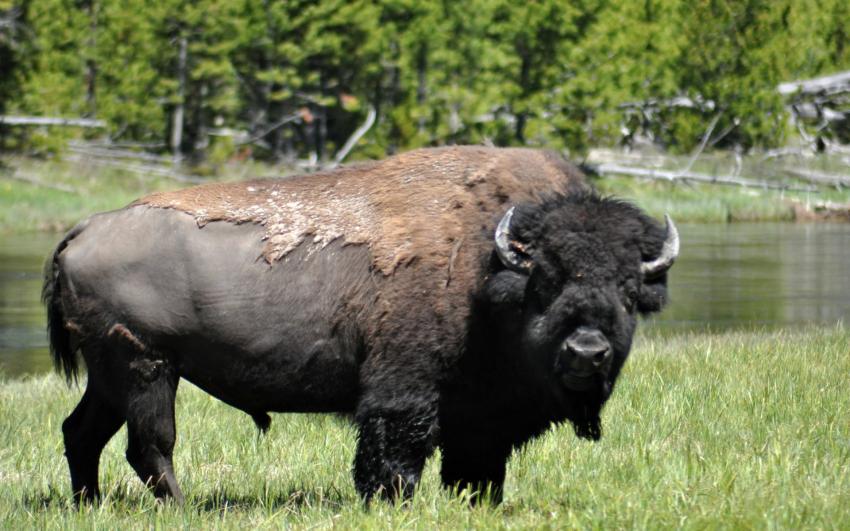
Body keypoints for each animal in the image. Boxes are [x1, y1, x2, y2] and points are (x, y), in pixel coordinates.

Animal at [43, 146, 678, 504]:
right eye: (546, 281)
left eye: (629, 291)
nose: (587, 351)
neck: (490, 262)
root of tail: (85, 227)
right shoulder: (404, 393)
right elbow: (396, 453)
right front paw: (389, 502)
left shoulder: (481, 415)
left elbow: (477, 466)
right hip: (147, 368)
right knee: (150, 445)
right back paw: (181, 508)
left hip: (111, 376)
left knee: (83, 433)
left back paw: (89, 505)